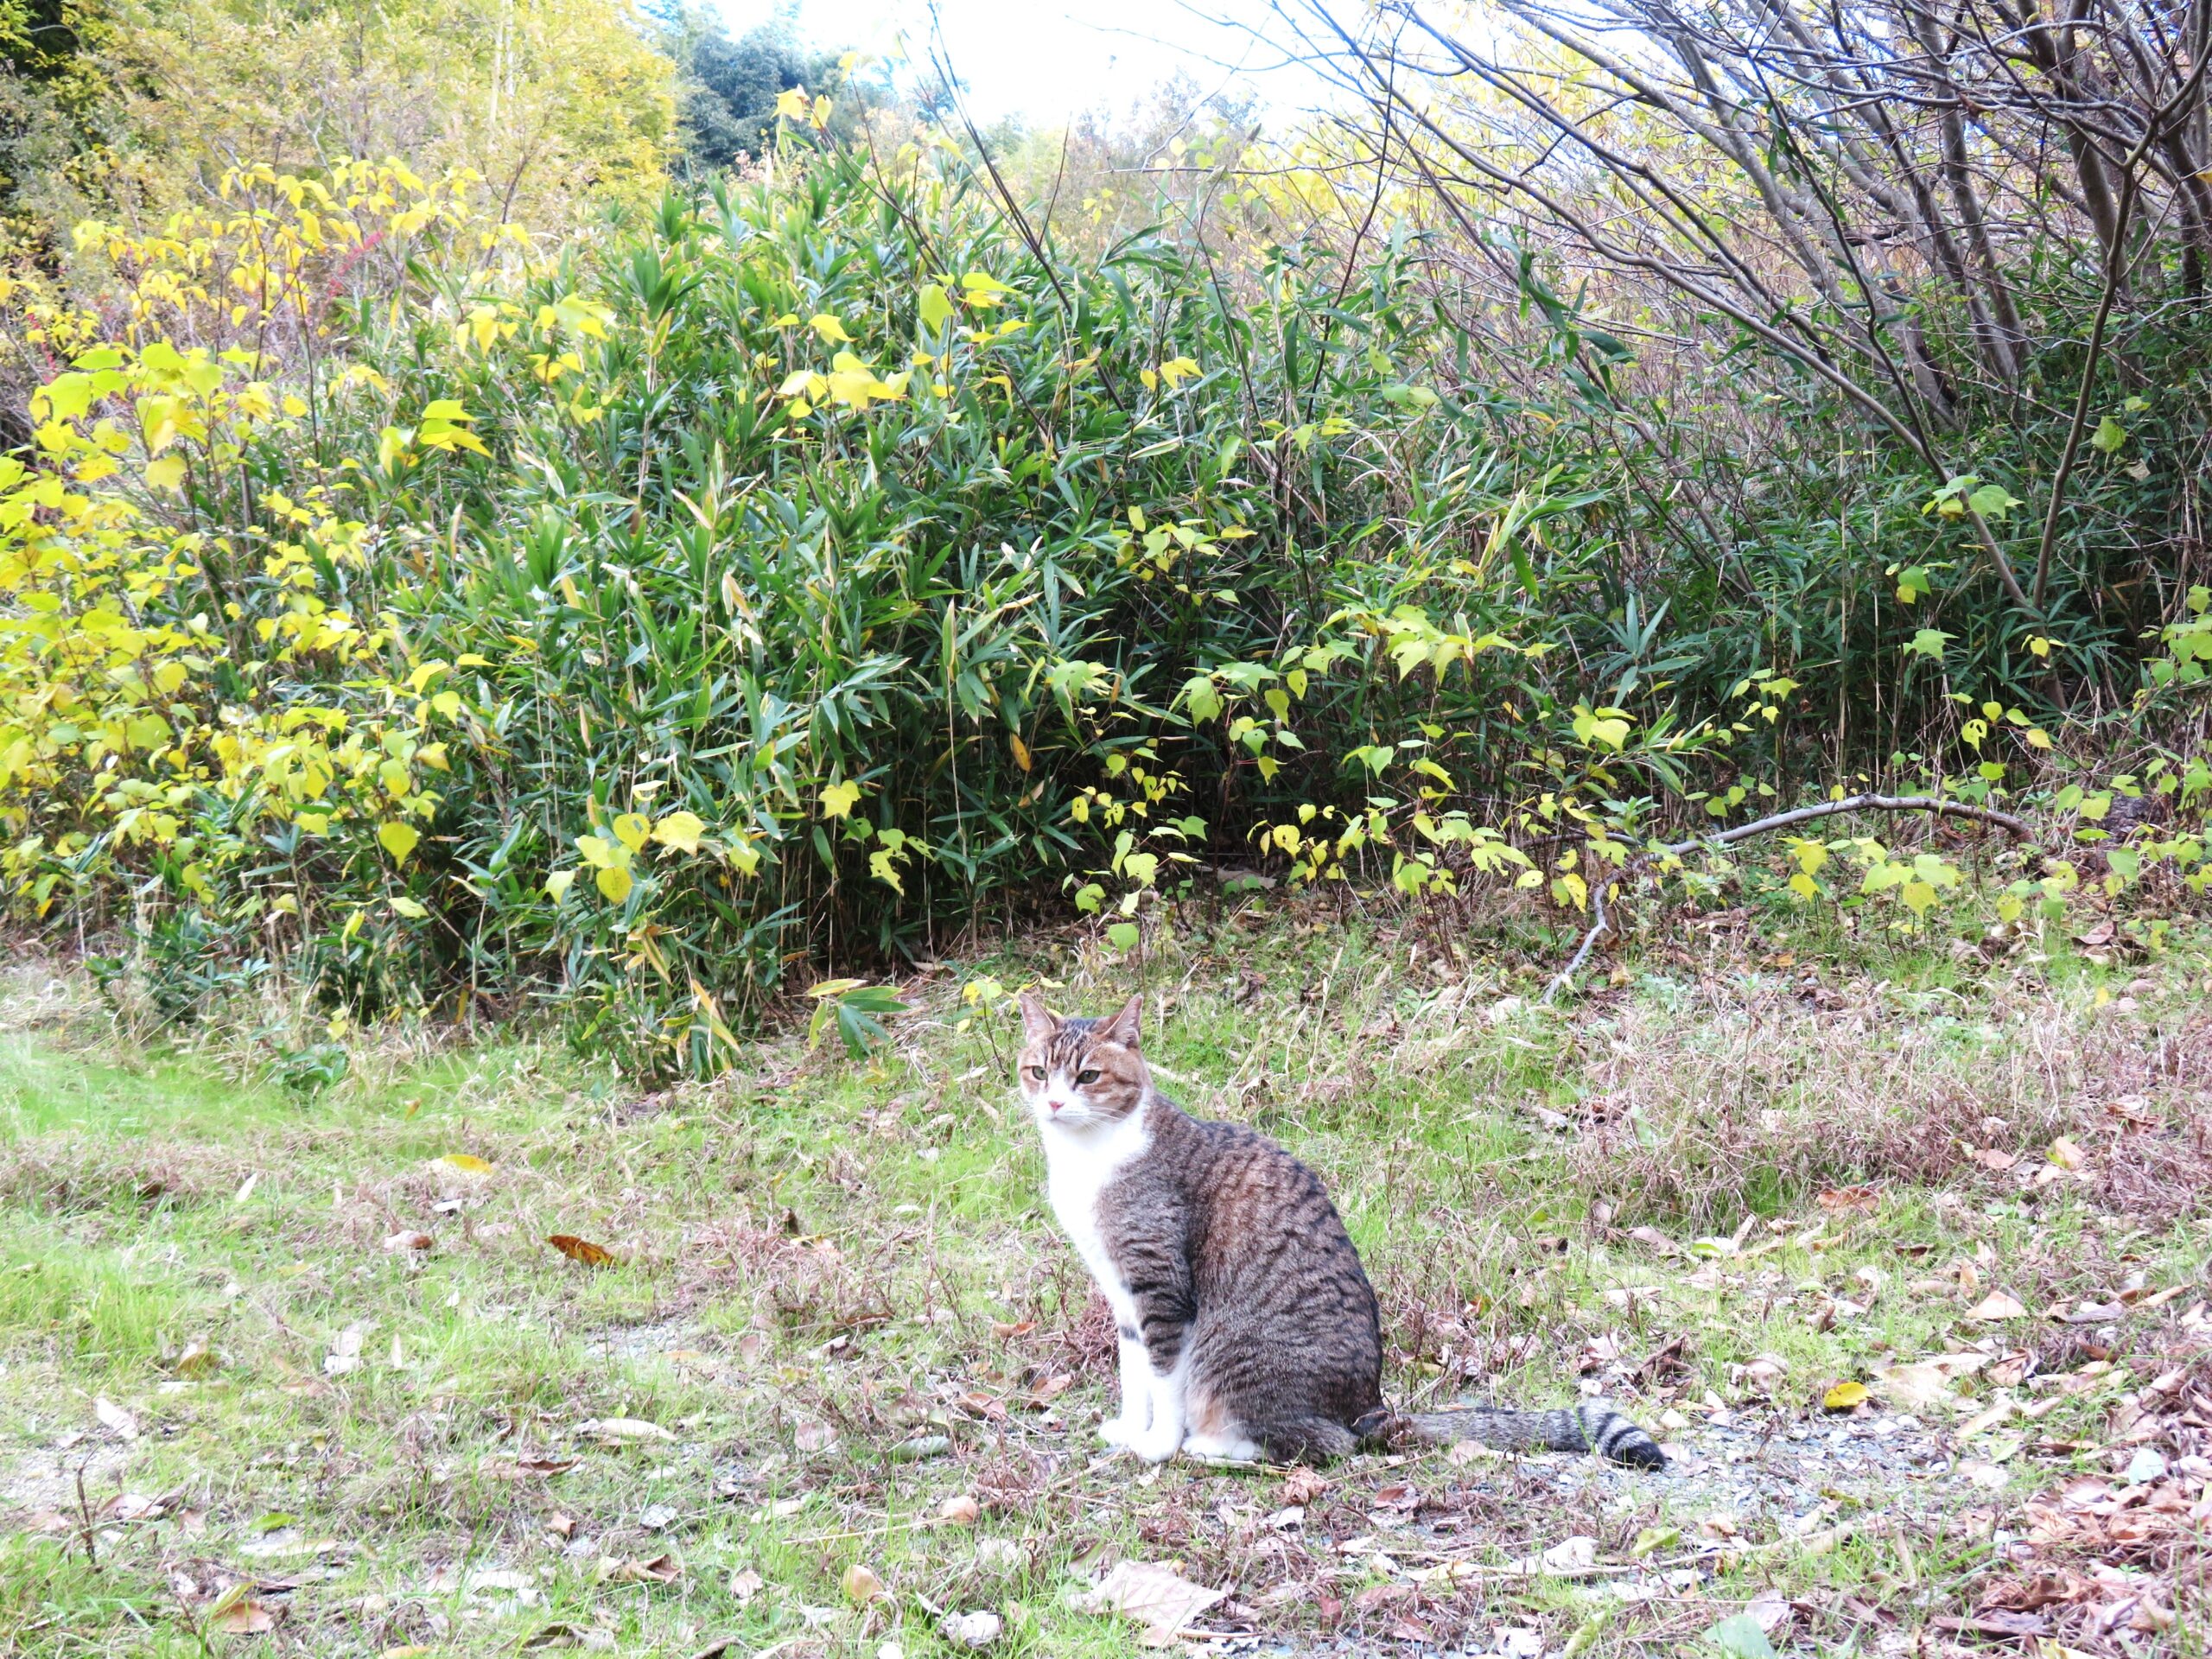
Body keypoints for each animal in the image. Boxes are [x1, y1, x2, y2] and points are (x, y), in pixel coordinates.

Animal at [1017, 995, 1663, 1478]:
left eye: (1088, 1076)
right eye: (1038, 1071)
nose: (1054, 1101)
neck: (1087, 1157)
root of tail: (1372, 1407)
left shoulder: (1162, 1287)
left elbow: (1163, 1380)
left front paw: (1157, 1445)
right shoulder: (1122, 1291)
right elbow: (1135, 1375)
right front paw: (1132, 1428)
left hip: (1236, 1357)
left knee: (1325, 1443)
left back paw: (1216, 1446)